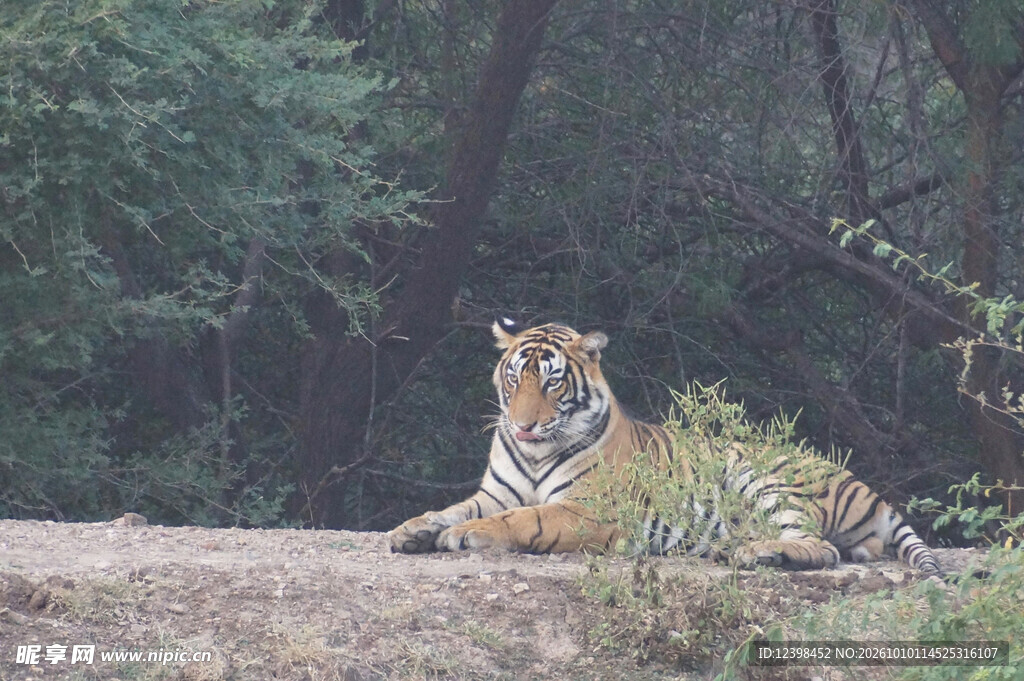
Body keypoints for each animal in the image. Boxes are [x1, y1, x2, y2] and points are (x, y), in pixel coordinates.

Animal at [387, 318, 941, 575]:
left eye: (551, 383)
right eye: (513, 378)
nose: (522, 426)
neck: (534, 451)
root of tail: (869, 490)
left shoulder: (590, 509)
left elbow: (523, 519)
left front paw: (464, 535)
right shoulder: (495, 492)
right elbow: (454, 508)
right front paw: (411, 530)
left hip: (767, 478)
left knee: (822, 547)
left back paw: (755, 551)